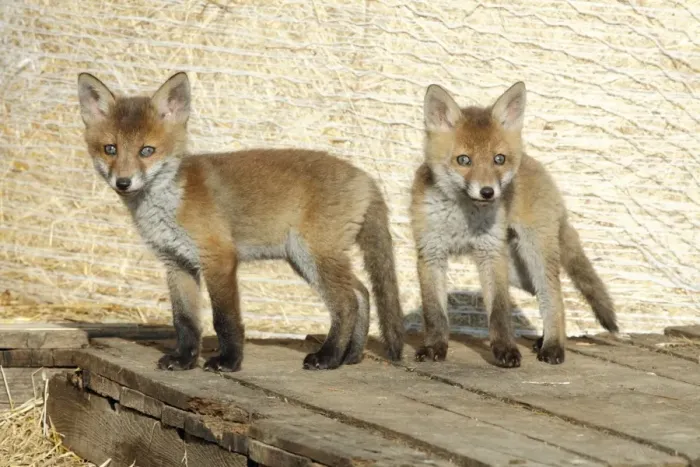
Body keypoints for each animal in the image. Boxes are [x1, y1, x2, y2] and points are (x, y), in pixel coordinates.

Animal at [76, 71, 405, 372]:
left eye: (147, 151)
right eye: (110, 149)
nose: (123, 182)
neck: (169, 203)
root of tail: (364, 176)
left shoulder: (218, 258)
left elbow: (225, 319)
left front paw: (229, 361)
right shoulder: (177, 263)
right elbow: (185, 321)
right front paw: (184, 360)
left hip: (314, 255)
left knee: (347, 303)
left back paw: (329, 357)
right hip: (305, 259)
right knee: (362, 293)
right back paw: (352, 356)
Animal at [410, 81, 618, 367]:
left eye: (499, 159)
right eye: (464, 160)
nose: (488, 192)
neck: (461, 219)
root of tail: (535, 164)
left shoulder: (490, 255)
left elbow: (499, 311)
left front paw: (505, 350)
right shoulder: (430, 253)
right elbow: (434, 313)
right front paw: (434, 347)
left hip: (534, 253)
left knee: (554, 296)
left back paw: (553, 346)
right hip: (518, 271)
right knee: (545, 293)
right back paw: (545, 339)